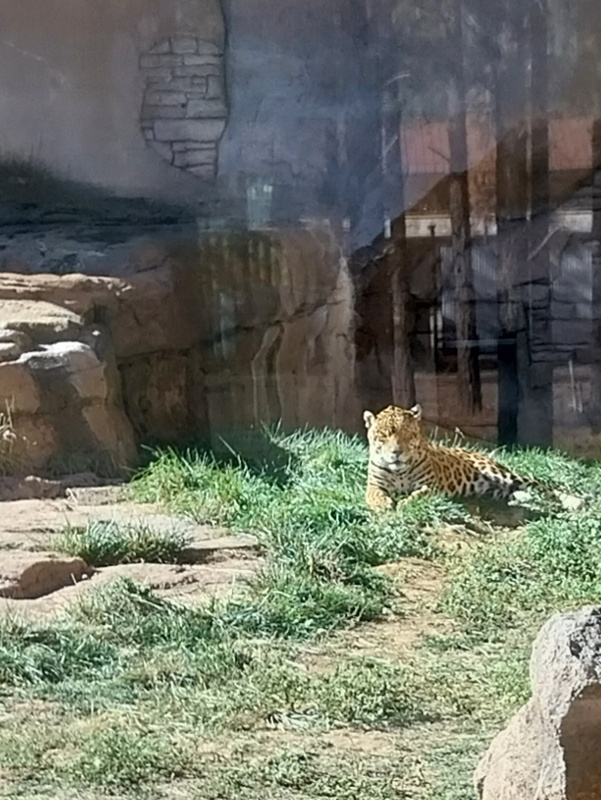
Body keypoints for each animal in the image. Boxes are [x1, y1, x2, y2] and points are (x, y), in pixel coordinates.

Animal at [362, 403, 581, 512]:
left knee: (544, 488)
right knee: (522, 493)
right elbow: (374, 494)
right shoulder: (374, 484)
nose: (396, 452)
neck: (399, 472)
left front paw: (406, 503)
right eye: (383, 435)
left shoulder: (430, 486)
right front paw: (383, 504)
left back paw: (574, 502)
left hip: (502, 474)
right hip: (498, 491)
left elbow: (419, 494)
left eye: (407, 434)